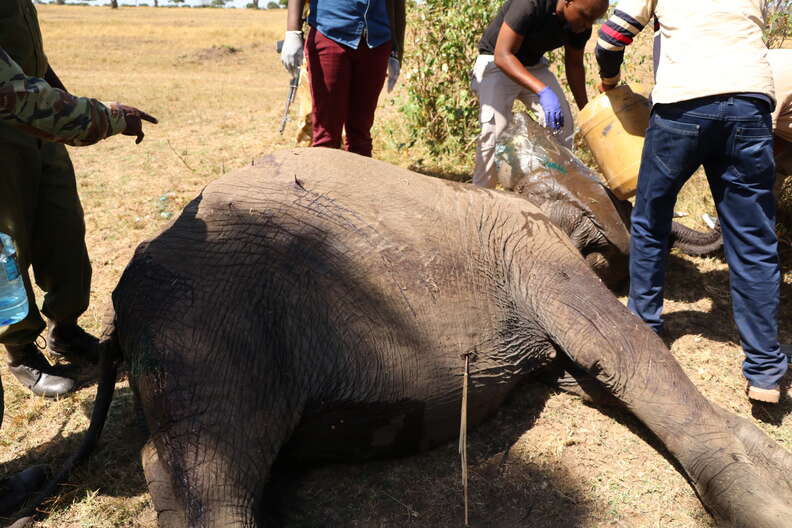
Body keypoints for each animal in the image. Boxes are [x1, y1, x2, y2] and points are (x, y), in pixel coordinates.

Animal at [9, 147, 791, 527]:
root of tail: (121, 314)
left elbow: (589, 369)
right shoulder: (534, 251)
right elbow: (621, 344)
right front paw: (770, 500)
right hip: (208, 322)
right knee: (213, 466)